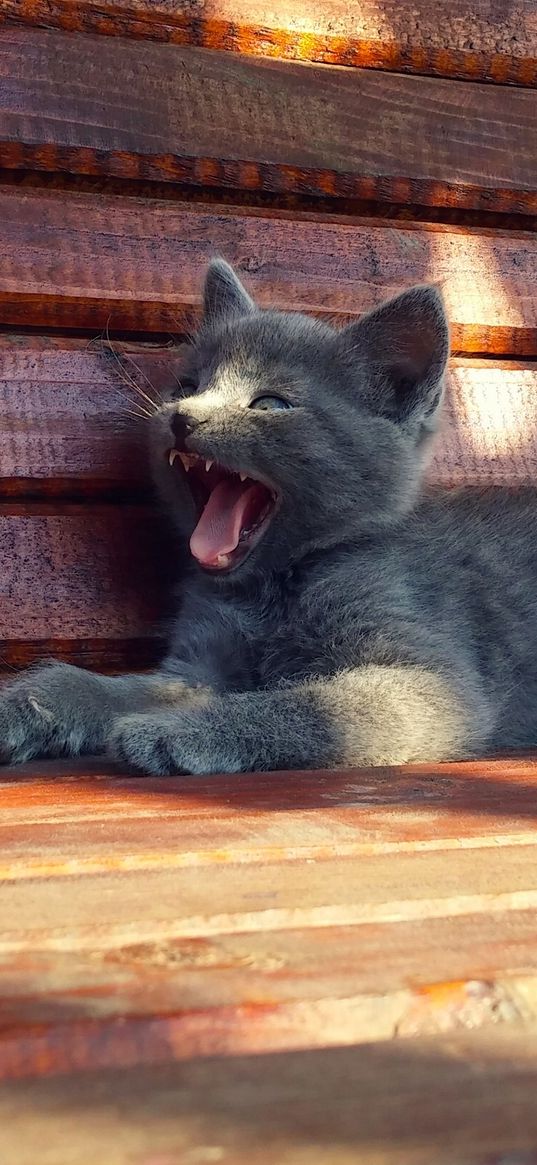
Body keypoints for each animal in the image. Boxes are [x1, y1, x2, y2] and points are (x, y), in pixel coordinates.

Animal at [1, 263, 535, 773]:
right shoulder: (200, 661)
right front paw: (31, 703)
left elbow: (312, 707)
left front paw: (180, 730)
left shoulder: (436, 681)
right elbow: (121, 688)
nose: (181, 416)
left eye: (271, 404)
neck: (272, 589)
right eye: (187, 386)